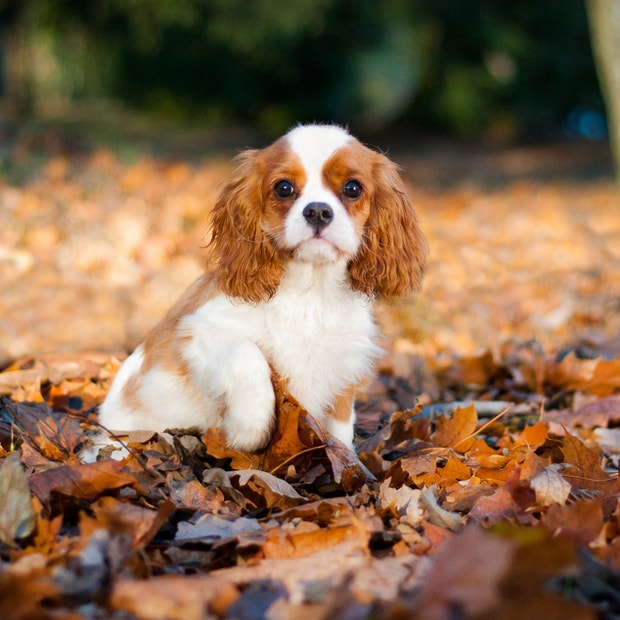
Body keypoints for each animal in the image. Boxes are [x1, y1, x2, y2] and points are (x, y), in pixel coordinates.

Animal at [98, 124, 426, 450]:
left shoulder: (342, 369)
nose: (318, 211)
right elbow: (248, 356)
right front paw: (248, 429)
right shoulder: (195, 331)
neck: (311, 290)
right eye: (284, 188)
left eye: (353, 188)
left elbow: (340, 433)